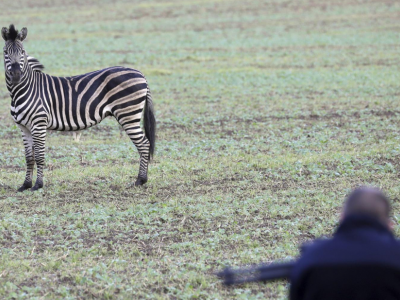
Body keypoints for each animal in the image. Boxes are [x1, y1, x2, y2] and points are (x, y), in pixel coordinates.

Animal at [2, 24, 156, 191]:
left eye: (22, 52)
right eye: (5, 52)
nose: (16, 75)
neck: (24, 90)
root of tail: (140, 74)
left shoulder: (39, 123)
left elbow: (39, 156)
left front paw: (38, 185)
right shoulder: (23, 127)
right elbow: (29, 157)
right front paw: (25, 185)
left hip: (128, 114)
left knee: (144, 144)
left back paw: (141, 180)